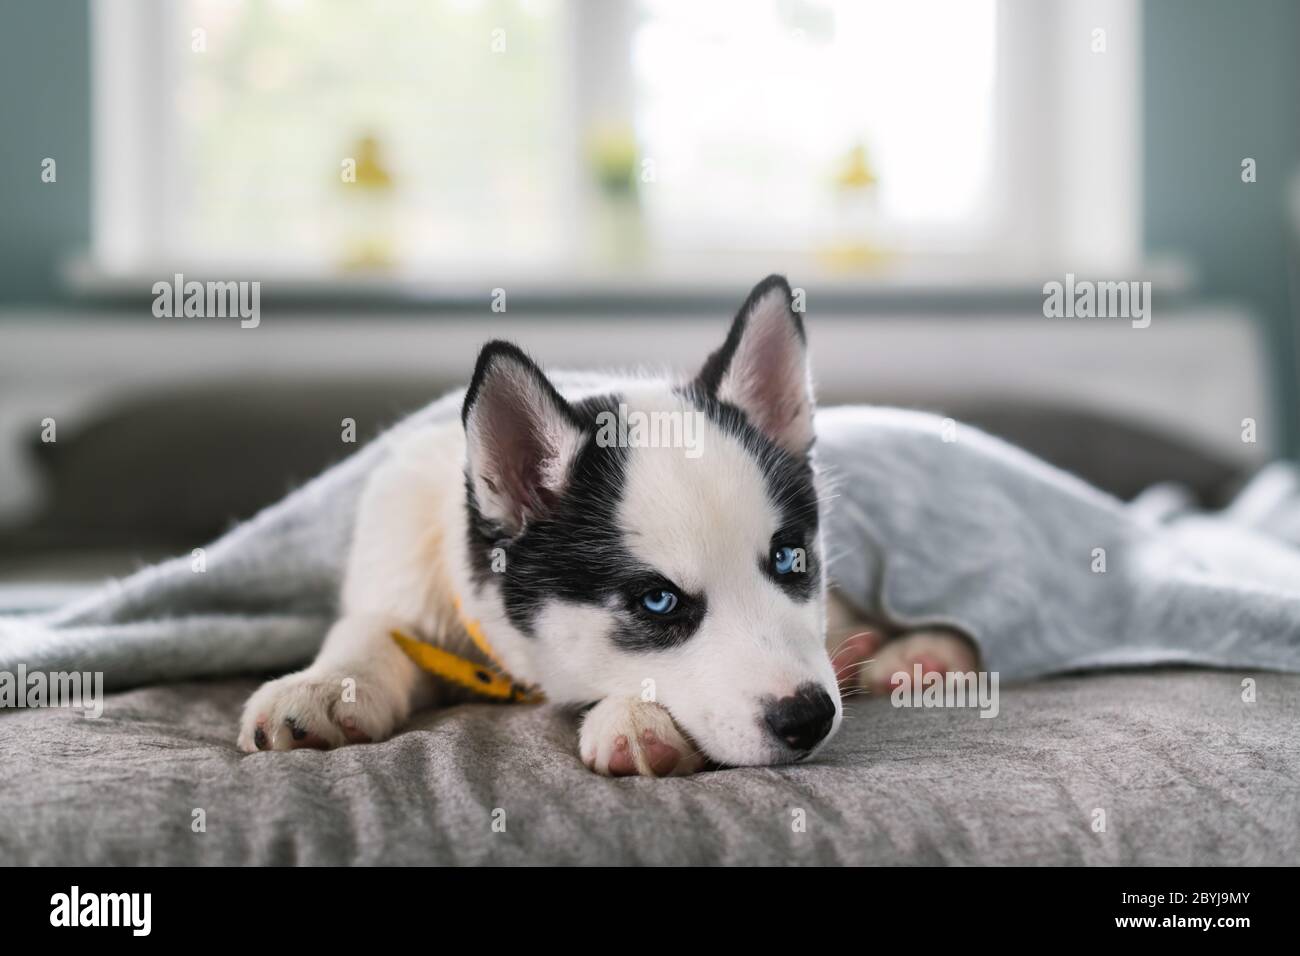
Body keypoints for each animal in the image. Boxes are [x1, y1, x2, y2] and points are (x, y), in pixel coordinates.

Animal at [236, 278, 977, 780]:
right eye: (658, 602)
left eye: (791, 560)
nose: (809, 718)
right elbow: (369, 628)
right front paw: (326, 685)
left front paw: (636, 717)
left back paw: (926, 653)